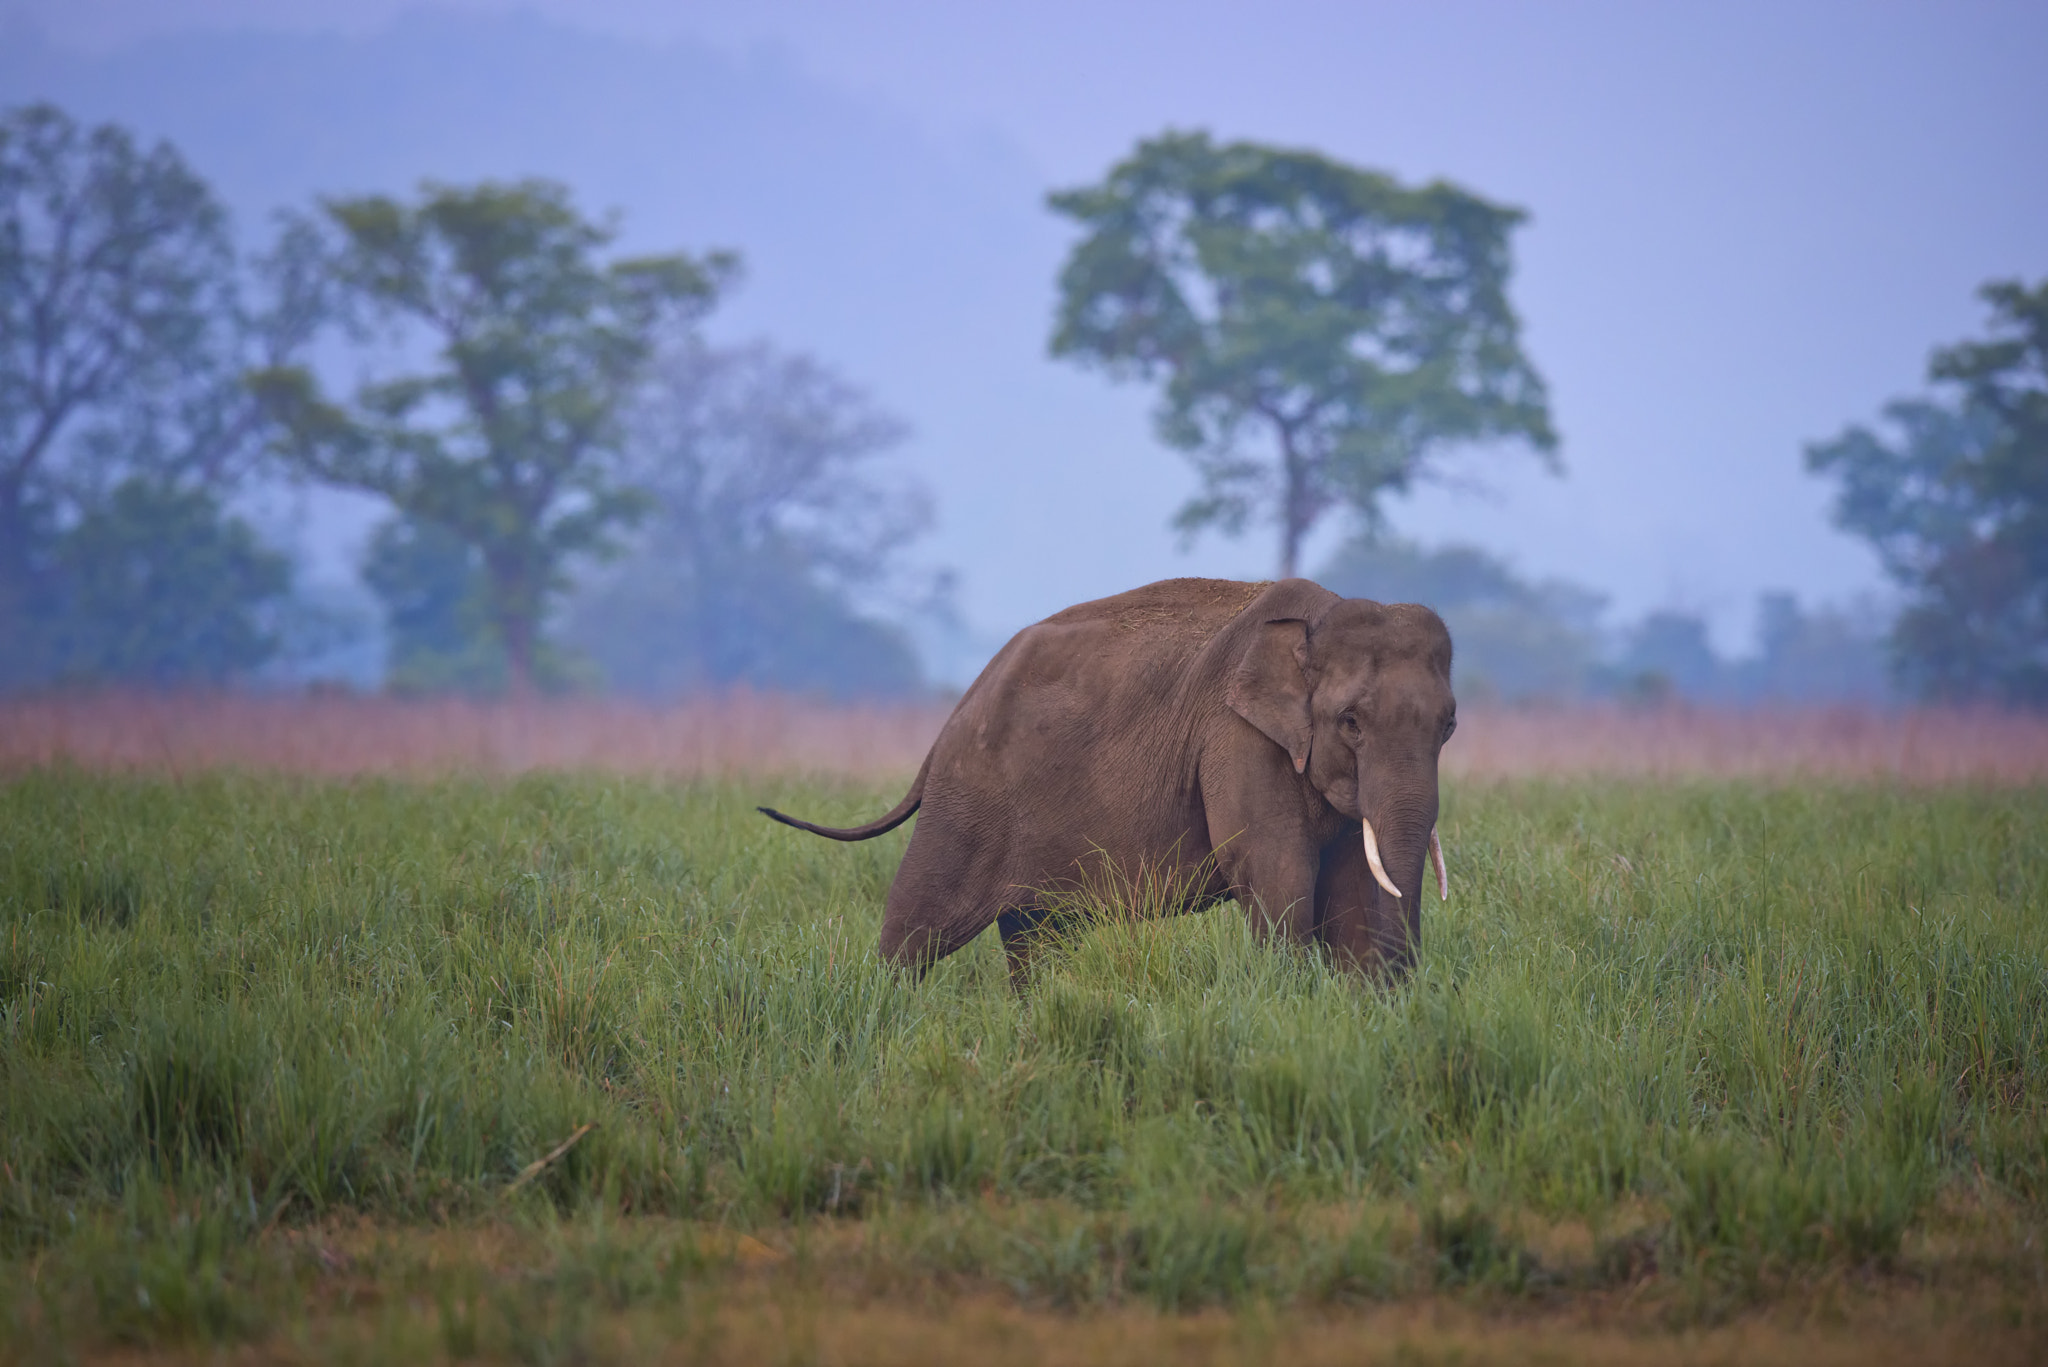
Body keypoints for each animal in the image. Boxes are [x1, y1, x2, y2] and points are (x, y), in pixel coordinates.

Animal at [759, 576, 1454, 983]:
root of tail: (953, 715)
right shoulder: (1236, 737)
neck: (1319, 618)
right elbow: (1273, 868)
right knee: (919, 926)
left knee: (1038, 937)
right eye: (1351, 722)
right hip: (967, 801)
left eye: (1449, 726)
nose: (1415, 982)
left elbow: (1355, 882)